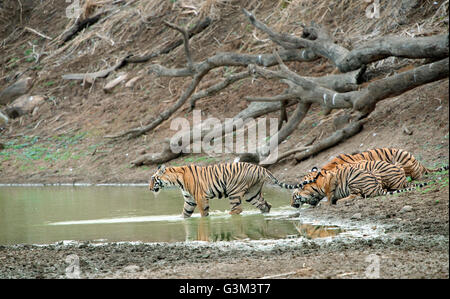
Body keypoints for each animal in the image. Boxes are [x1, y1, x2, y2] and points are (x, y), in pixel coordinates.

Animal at [149, 163, 312, 219]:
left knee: (237, 209)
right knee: (265, 205)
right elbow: (185, 213)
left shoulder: (200, 197)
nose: (149, 188)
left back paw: (227, 216)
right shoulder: (189, 200)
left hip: (234, 191)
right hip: (252, 193)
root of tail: (262, 168)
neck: (177, 179)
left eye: (152, 179)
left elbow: (203, 213)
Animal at [290, 166, 428, 209]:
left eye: (293, 197)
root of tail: (377, 187)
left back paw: (340, 201)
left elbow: (329, 194)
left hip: (352, 179)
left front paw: (325, 203)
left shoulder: (331, 181)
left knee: (357, 196)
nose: (291, 205)